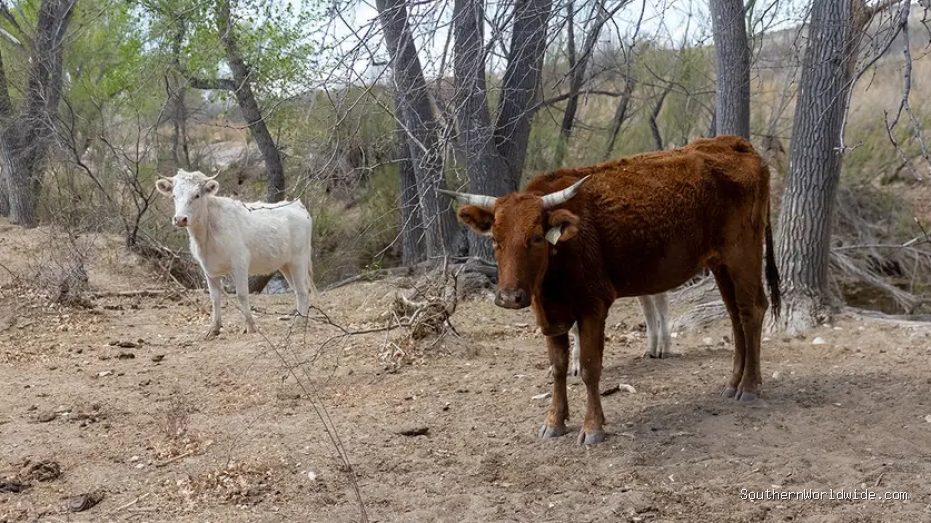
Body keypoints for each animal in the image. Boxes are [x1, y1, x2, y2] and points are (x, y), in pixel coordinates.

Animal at [156, 169, 316, 338]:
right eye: (174, 195)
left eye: (197, 195)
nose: (180, 219)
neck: (206, 234)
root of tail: (297, 205)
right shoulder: (208, 269)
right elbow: (215, 298)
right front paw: (214, 329)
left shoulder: (240, 263)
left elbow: (242, 294)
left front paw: (251, 327)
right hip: (285, 265)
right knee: (298, 290)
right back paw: (301, 320)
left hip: (299, 260)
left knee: (303, 291)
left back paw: (298, 323)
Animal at [440, 135, 780, 445]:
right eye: (496, 240)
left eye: (536, 237)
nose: (510, 297)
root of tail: (734, 143)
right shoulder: (550, 317)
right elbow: (558, 367)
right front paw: (554, 422)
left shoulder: (594, 306)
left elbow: (590, 368)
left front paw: (593, 427)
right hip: (721, 264)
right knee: (735, 316)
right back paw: (733, 383)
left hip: (743, 255)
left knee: (752, 310)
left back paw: (749, 387)